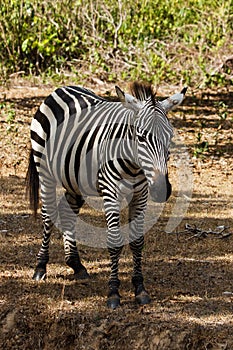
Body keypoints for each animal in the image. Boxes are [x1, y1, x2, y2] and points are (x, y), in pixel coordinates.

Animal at [26, 82, 187, 308]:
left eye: (170, 138)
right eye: (140, 137)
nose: (160, 190)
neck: (134, 165)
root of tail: (62, 88)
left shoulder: (141, 194)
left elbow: (137, 242)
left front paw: (140, 289)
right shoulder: (111, 192)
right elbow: (114, 240)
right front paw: (113, 293)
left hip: (75, 180)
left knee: (67, 211)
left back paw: (76, 265)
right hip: (45, 170)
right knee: (48, 215)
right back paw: (40, 267)